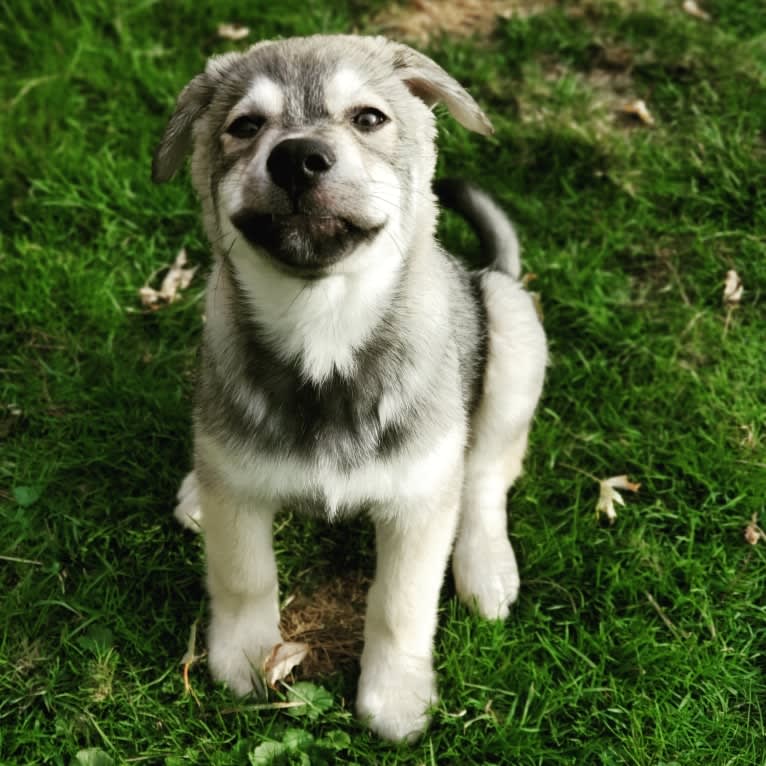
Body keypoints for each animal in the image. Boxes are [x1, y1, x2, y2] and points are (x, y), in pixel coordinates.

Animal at [152, 34, 544, 744]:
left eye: (368, 118)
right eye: (244, 127)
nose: (298, 158)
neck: (324, 332)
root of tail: (487, 269)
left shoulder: (418, 506)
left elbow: (399, 606)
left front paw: (396, 698)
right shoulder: (240, 504)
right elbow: (245, 576)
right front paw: (246, 660)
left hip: (514, 326)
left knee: (485, 475)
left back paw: (487, 564)